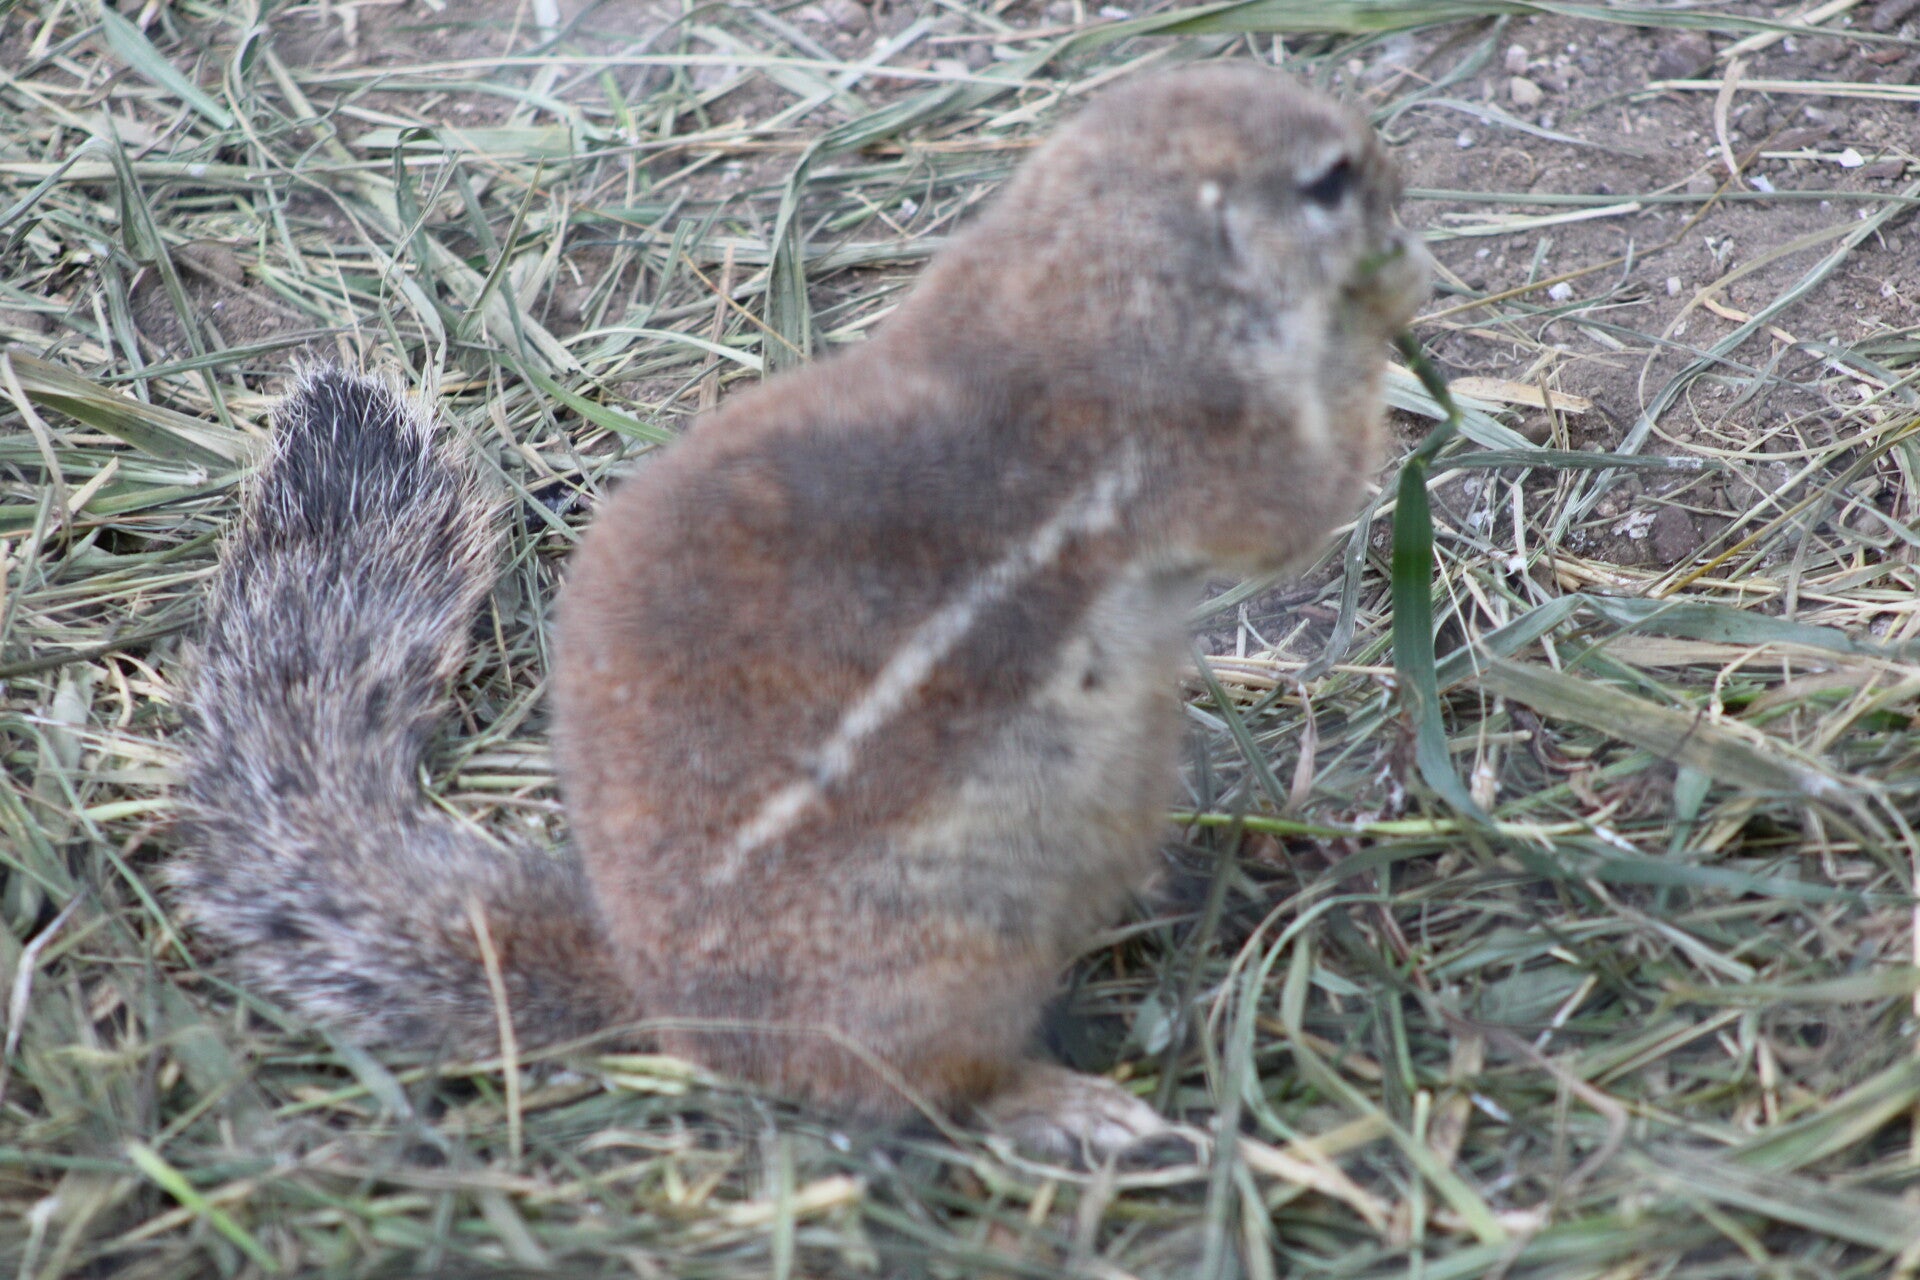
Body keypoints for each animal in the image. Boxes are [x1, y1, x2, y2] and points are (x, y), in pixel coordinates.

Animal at [172, 65, 1429, 1161]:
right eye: (1326, 180)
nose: (1395, 180)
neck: (1085, 271)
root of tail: (664, 998)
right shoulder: (1201, 447)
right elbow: (1306, 495)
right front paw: (1385, 306)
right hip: (940, 959)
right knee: (926, 1089)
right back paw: (1069, 1102)